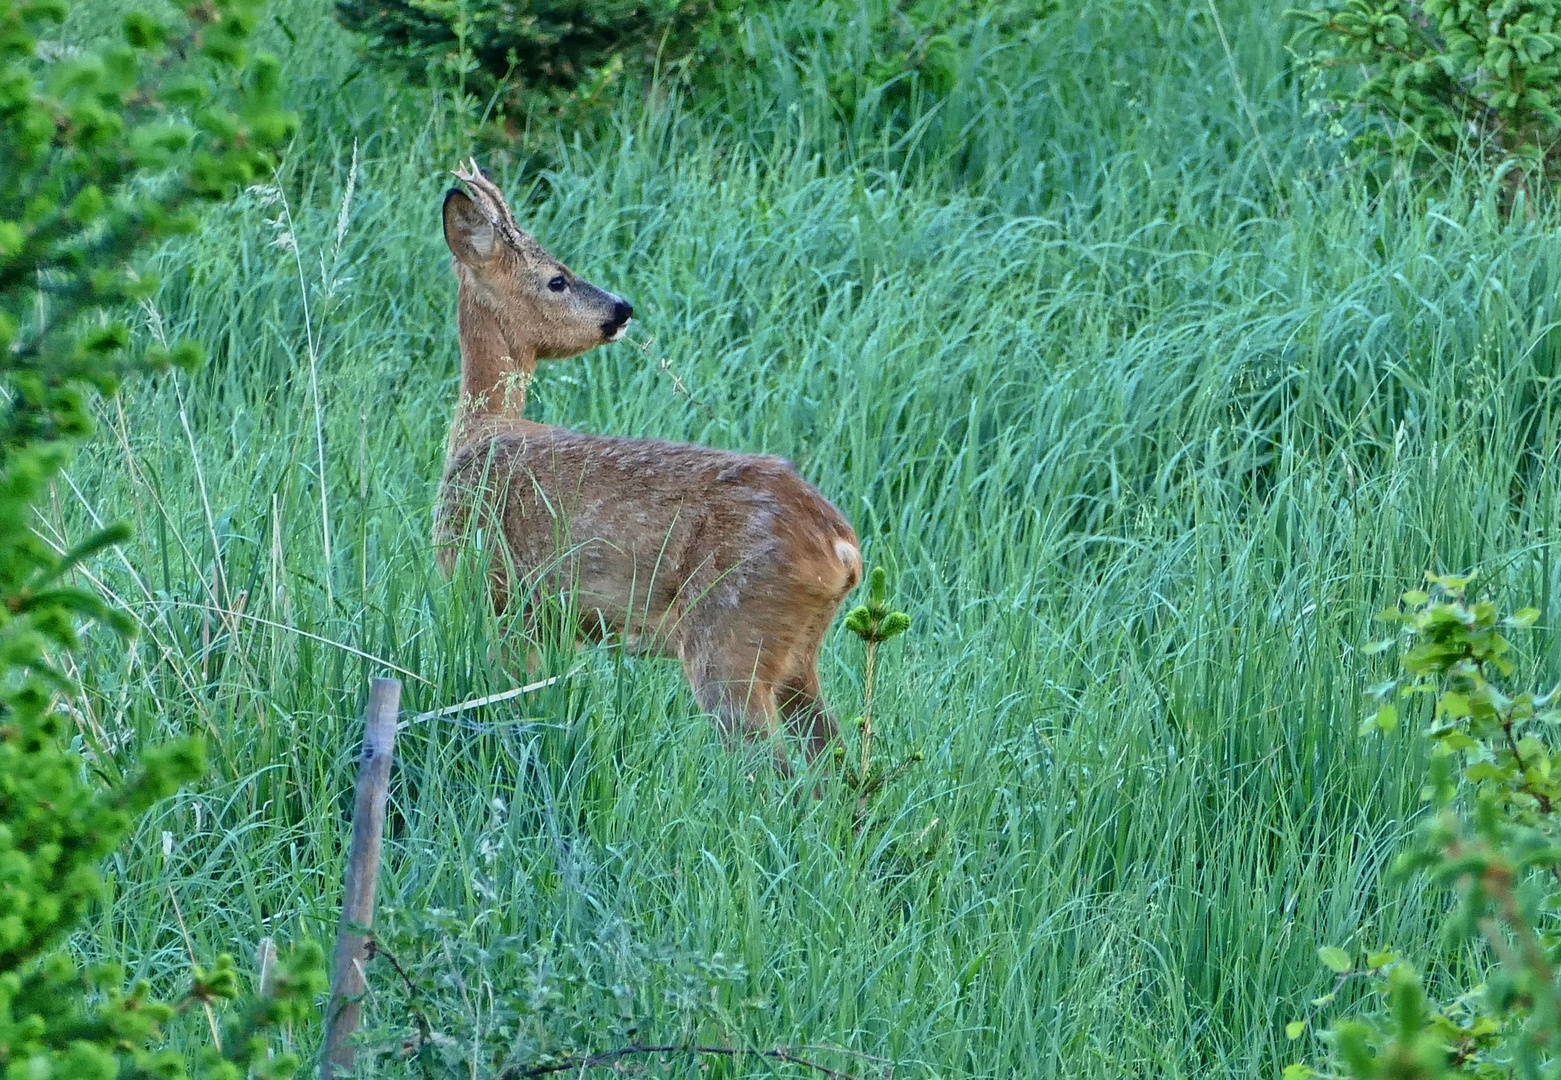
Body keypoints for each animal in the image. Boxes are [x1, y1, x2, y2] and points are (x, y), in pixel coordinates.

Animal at [433, 162, 861, 767]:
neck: (479, 433)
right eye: (558, 280)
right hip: (798, 657)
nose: (622, 308)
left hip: (730, 636)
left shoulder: (494, 588)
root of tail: (842, 548)